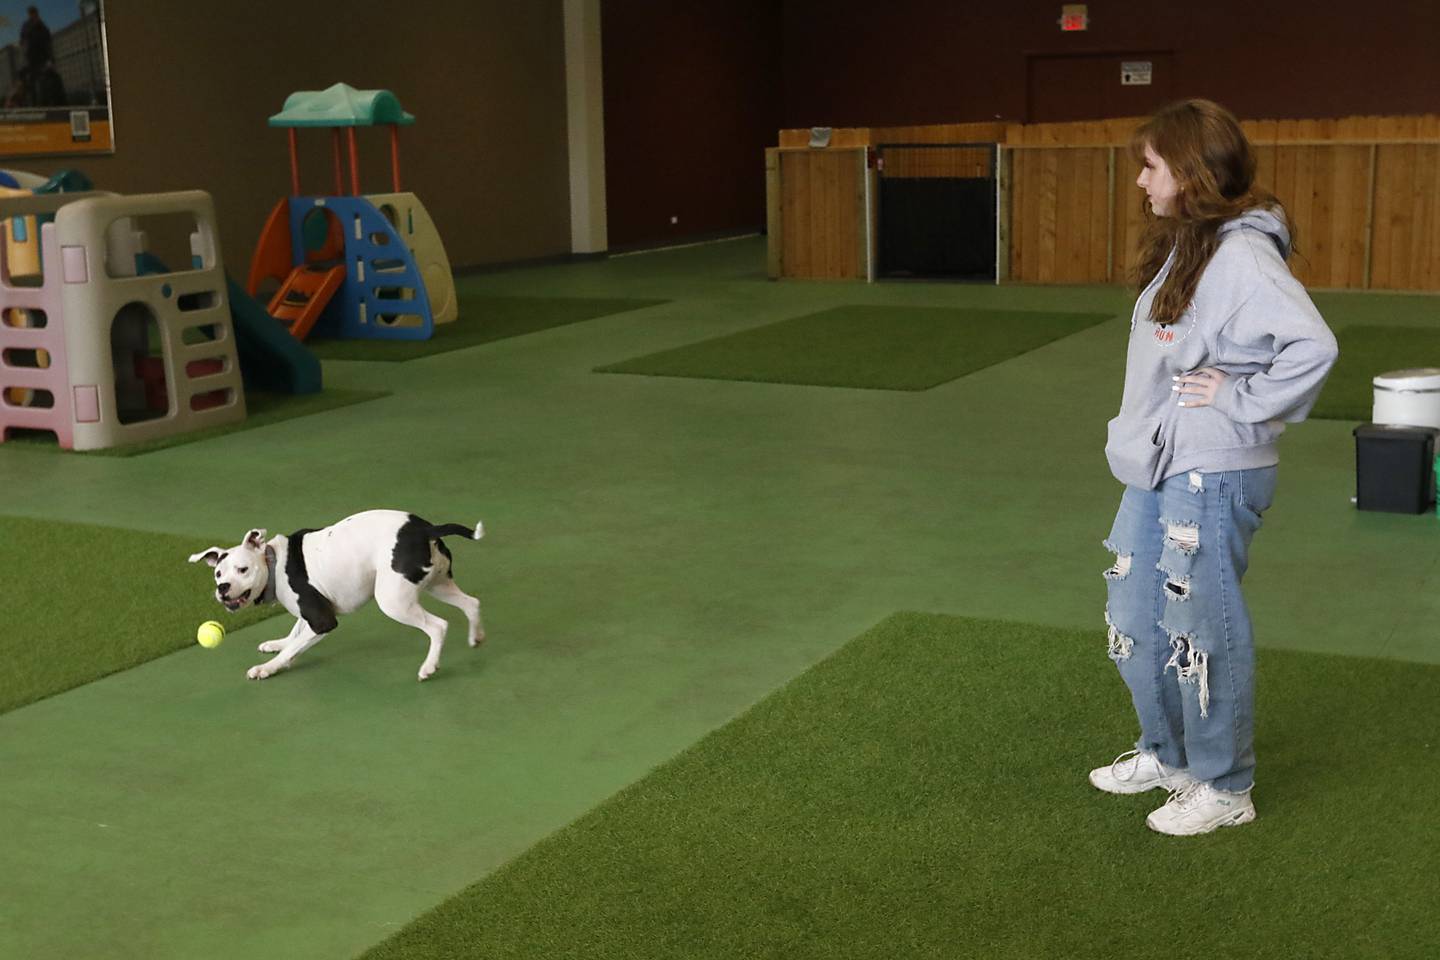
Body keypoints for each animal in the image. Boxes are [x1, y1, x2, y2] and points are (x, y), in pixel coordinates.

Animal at [187, 515, 483, 679]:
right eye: (217, 573)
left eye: (243, 570)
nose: (223, 587)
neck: (273, 562)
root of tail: (426, 529)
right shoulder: (311, 610)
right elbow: (295, 634)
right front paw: (278, 644)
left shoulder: (323, 621)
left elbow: (295, 645)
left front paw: (267, 668)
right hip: (438, 585)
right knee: (471, 603)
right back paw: (475, 638)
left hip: (394, 602)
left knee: (438, 626)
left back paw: (429, 667)